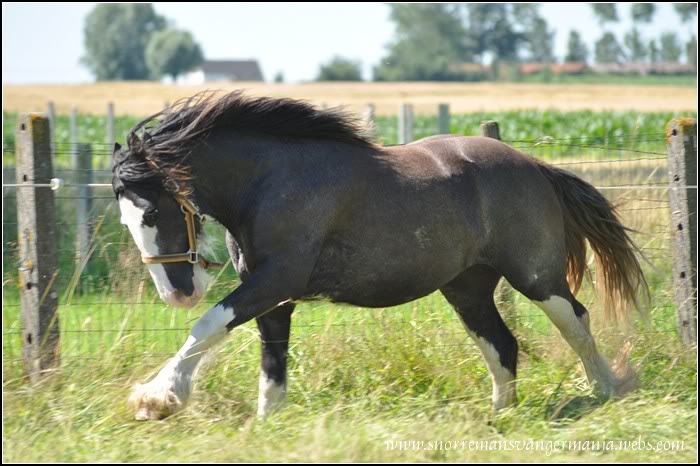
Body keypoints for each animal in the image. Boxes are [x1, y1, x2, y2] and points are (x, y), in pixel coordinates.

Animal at [112, 89, 648, 420]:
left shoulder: (277, 282)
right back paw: (500, 417)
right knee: (502, 345)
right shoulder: (273, 299)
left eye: (152, 212)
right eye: (126, 221)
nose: (178, 294)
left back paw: (607, 390)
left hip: (535, 277)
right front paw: (267, 424)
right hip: (468, 289)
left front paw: (158, 397)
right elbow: (272, 367)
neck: (269, 181)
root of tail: (534, 165)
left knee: (576, 320)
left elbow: (208, 324)